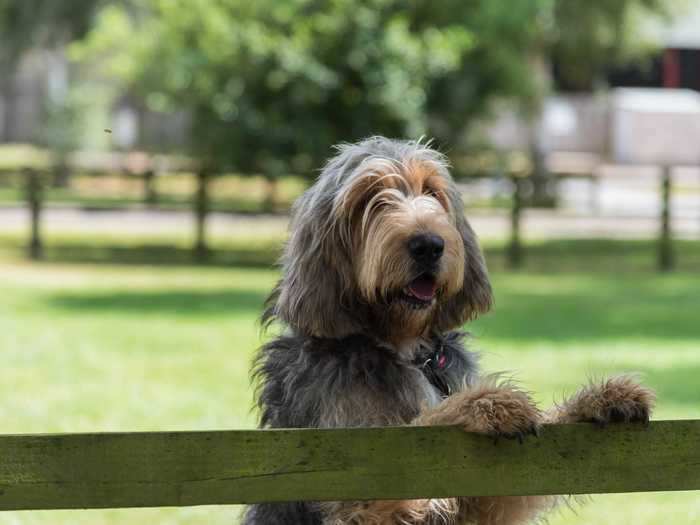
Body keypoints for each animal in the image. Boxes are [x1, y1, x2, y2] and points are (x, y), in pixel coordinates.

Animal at [242, 137, 656, 520]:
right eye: (370, 198)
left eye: (431, 191)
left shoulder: (479, 499)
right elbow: (421, 425)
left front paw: (599, 398)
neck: (402, 346)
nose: (429, 244)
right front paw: (485, 404)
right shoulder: (356, 476)